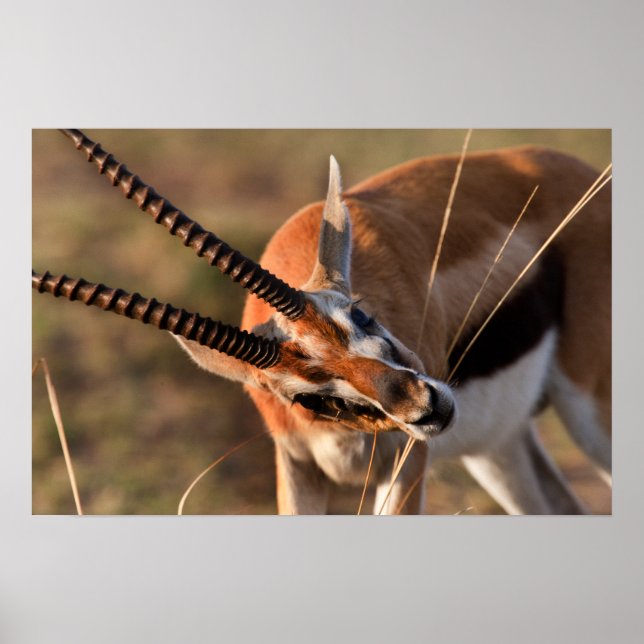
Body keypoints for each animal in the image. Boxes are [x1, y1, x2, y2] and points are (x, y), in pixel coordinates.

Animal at [32, 130, 611, 515]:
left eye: (360, 313)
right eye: (305, 396)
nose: (424, 406)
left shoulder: (406, 461)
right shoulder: (297, 464)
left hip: (589, 414)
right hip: (499, 447)